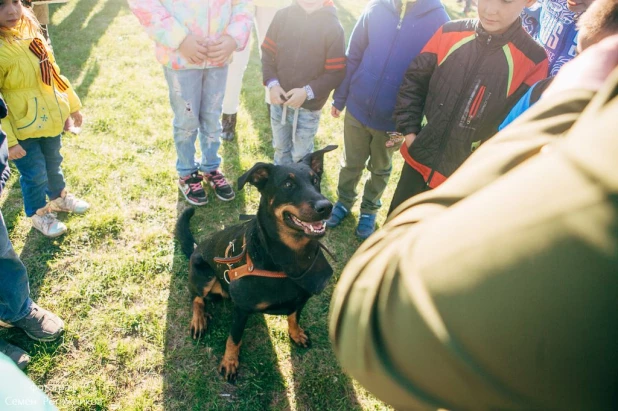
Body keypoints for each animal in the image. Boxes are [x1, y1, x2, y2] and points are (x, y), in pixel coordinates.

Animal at [176, 146, 334, 384]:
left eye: (315, 180)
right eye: (288, 185)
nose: (327, 206)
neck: (288, 260)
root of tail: (196, 247)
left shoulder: (301, 298)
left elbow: (294, 317)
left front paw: (296, 334)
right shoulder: (241, 309)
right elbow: (234, 338)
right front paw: (230, 361)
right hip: (203, 274)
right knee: (196, 298)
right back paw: (199, 319)